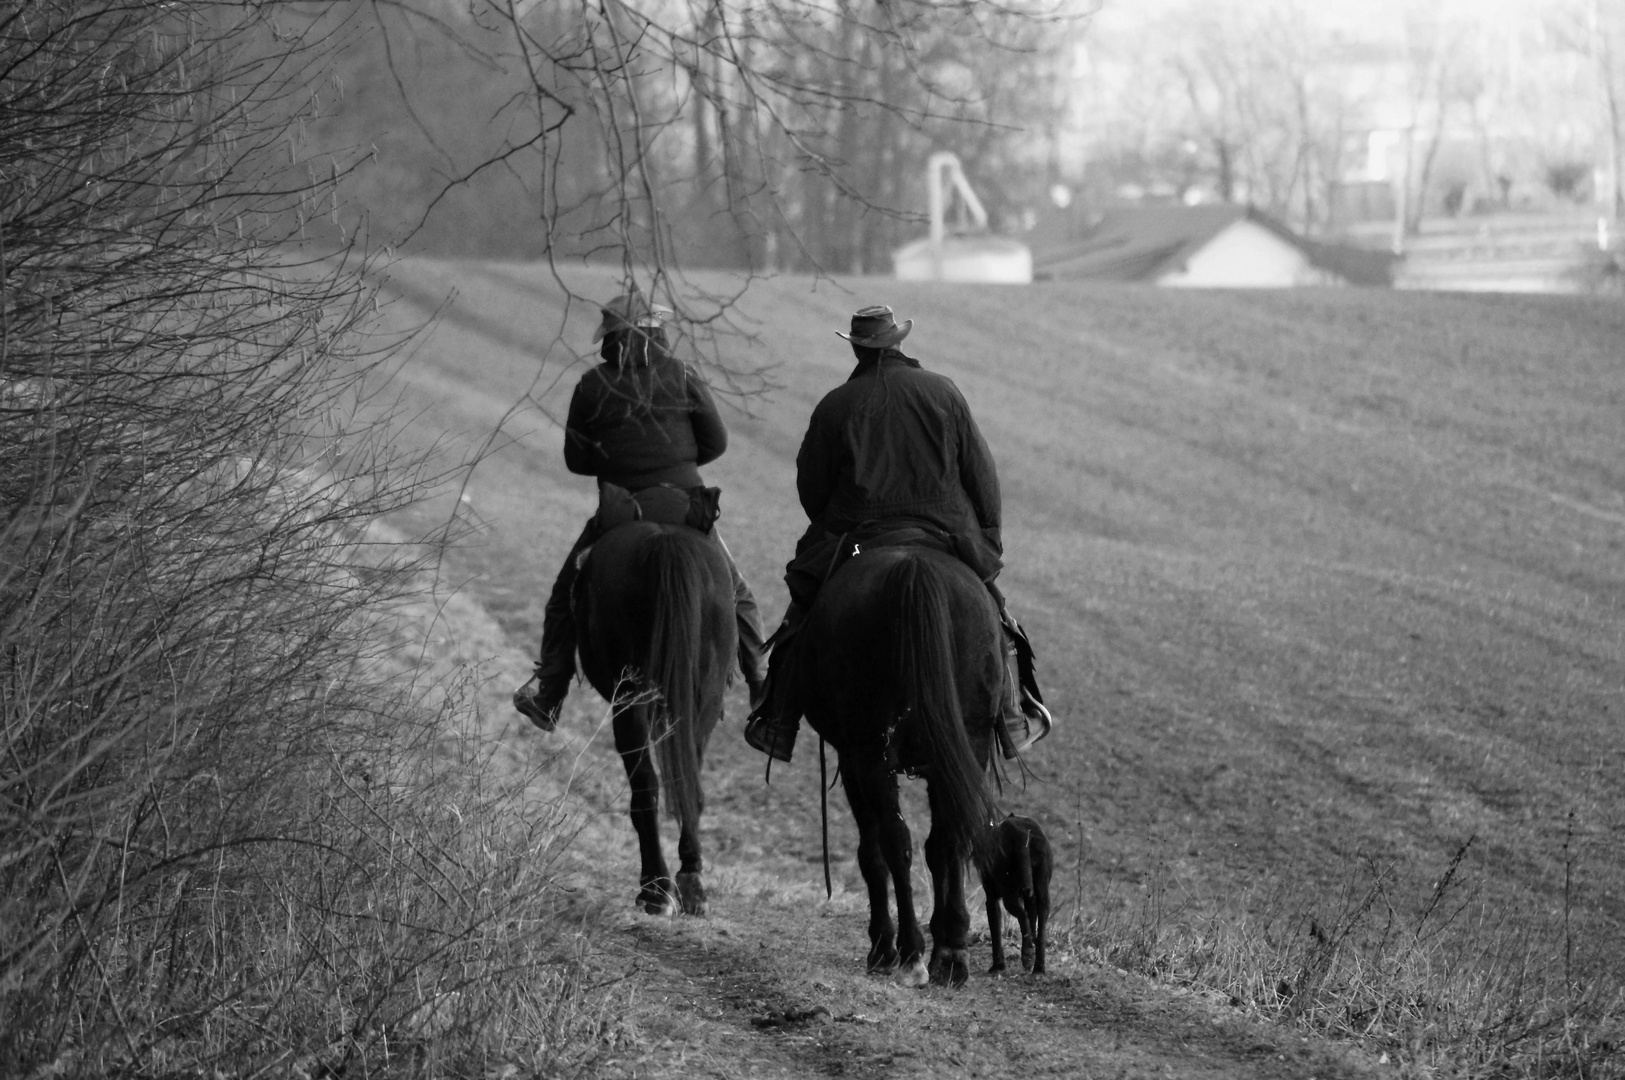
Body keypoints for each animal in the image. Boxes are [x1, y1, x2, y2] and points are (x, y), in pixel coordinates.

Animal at [575, 519, 734, 915]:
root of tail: (665, 543)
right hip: (702, 701)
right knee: (686, 780)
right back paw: (689, 882)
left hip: (629, 698)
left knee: (646, 784)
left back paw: (655, 888)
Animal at [799, 548, 1001, 987]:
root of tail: (913, 565)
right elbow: (938, 846)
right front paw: (946, 939)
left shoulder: (851, 760)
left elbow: (871, 851)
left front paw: (882, 946)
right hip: (969, 740)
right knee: (948, 836)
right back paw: (951, 953)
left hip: (870, 750)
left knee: (896, 842)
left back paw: (908, 951)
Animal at [975, 812, 1053, 974]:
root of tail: (1022, 832)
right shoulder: (1030, 898)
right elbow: (1033, 921)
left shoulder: (991, 899)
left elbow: (995, 932)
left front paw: (998, 966)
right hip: (1042, 891)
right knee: (1041, 930)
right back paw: (1039, 967)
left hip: (1009, 895)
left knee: (1022, 916)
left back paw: (1027, 955)